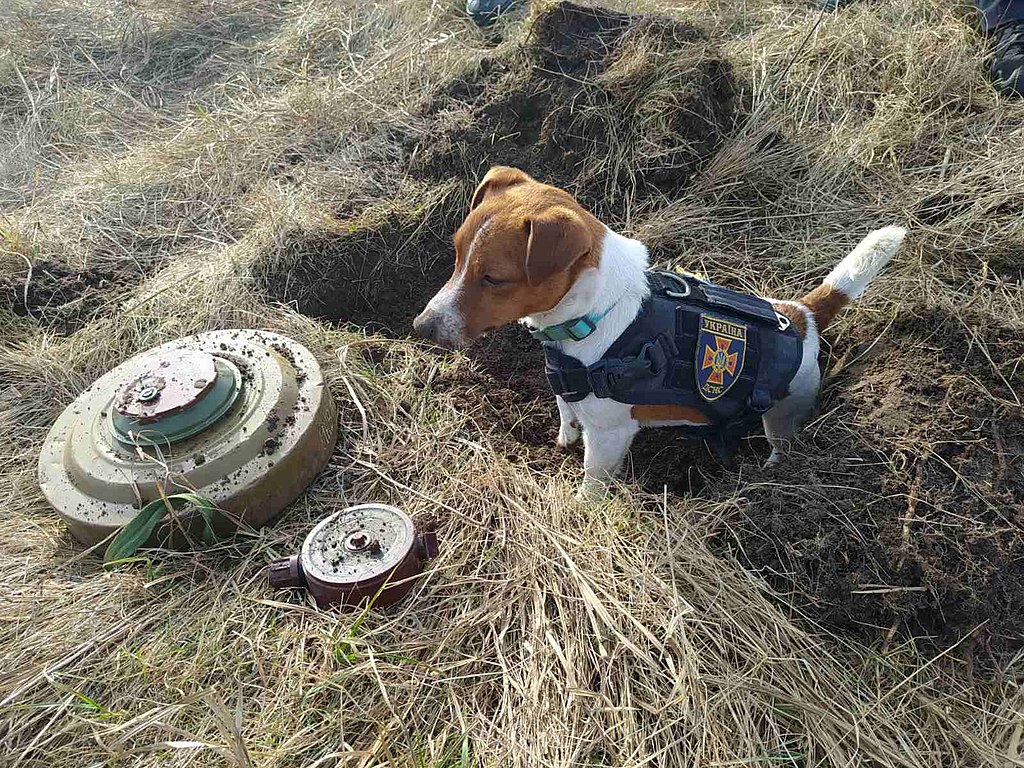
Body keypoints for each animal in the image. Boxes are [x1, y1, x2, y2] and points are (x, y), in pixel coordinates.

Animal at [411, 165, 909, 499]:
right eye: (456, 254)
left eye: (494, 279)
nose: (421, 326)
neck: (594, 314)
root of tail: (802, 314)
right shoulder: (567, 390)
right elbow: (566, 414)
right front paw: (562, 440)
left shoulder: (609, 435)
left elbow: (592, 480)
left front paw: (582, 506)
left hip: (785, 413)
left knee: (782, 444)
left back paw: (770, 472)